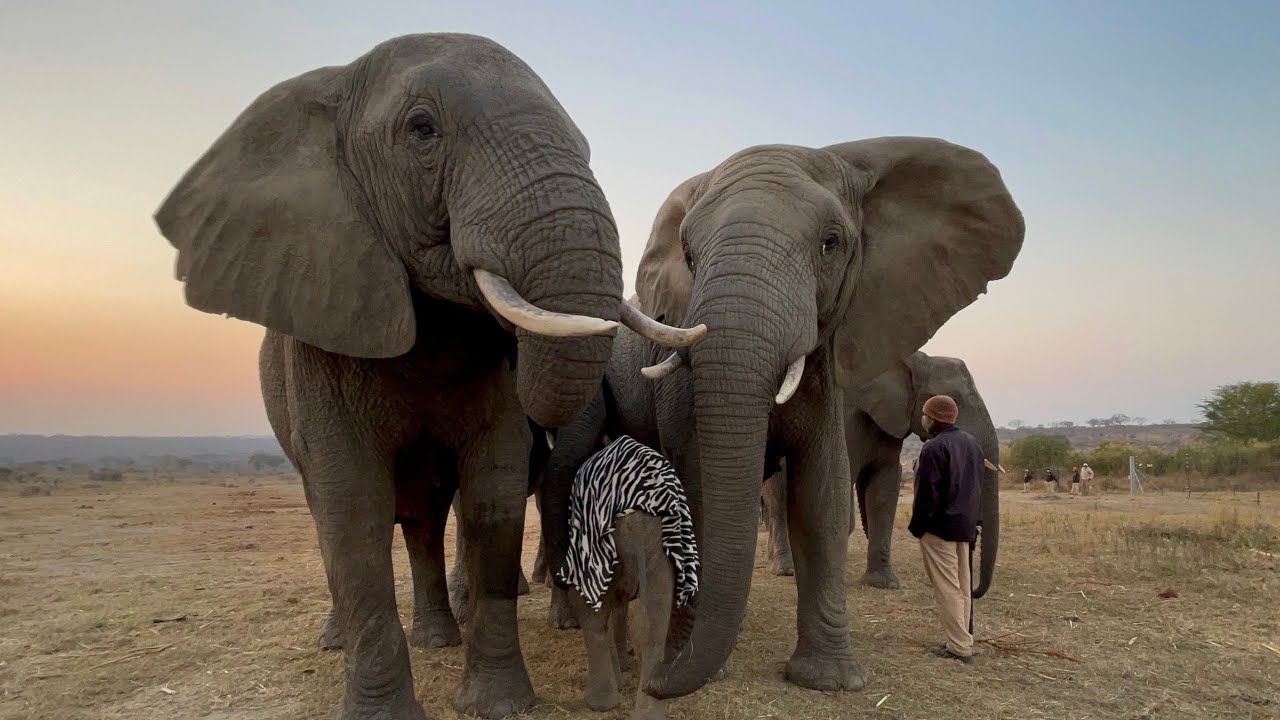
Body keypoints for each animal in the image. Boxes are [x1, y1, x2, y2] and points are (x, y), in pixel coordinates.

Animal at [154, 33, 702, 720]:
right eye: (422, 129)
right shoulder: (323, 314)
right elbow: (351, 506)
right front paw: (383, 713)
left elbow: (492, 496)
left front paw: (499, 705)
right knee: (334, 511)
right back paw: (340, 641)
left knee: (424, 520)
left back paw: (440, 637)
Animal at [760, 351, 1003, 598]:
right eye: (950, 400)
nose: (973, 591)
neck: (915, 361)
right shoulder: (846, 415)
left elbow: (884, 488)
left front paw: (882, 583)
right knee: (779, 500)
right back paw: (785, 569)